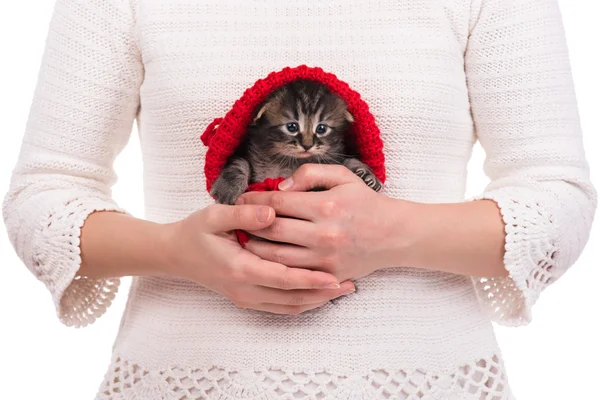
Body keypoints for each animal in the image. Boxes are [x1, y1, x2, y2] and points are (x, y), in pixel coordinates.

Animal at [210, 79, 380, 205]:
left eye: (321, 128)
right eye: (292, 127)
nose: (307, 145)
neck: (291, 160)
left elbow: (346, 161)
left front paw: (366, 174)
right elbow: (238, 161)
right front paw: (228, 187)